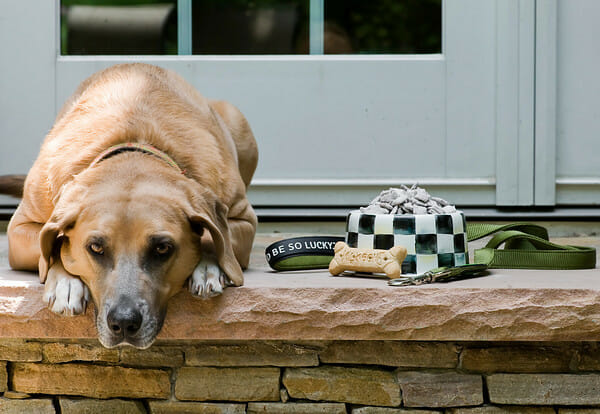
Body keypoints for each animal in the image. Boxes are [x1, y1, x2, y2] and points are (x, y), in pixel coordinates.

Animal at [0, 64, 258, 350]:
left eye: (162, 248)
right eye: (95, 248)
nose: (124, 323)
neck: (135, 143)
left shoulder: (243, 219)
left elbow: (213, 237)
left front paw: (207, 268)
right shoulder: (20, 228)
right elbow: (53, 241)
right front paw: (65, 282)